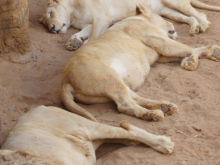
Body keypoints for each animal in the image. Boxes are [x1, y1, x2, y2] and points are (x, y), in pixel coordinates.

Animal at [38, 0, 220, 51]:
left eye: (50, 14)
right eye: (46, 24)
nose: (52, 29)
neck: (73, 12)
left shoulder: (102, 17)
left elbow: (94, 35)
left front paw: (85, 45)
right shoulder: (91, 22)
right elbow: (84, 31)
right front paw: (74, 41)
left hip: (174, 2)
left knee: (198, 13)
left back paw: (203, 25)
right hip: (167, 10)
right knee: (188, 17)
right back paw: (194, 28)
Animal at [60, 4, 220, 122]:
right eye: (161, 16)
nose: (172, 23)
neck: (139, 19)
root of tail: (64, 80)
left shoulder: (161, 54)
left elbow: (192, 49)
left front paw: (213, 52)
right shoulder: (159, 41)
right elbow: (188, 48)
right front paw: (191, 62)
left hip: (115, 84)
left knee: (135, 98)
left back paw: (165, 106)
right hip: (109, 78)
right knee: (125, 105)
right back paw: (152, 114)